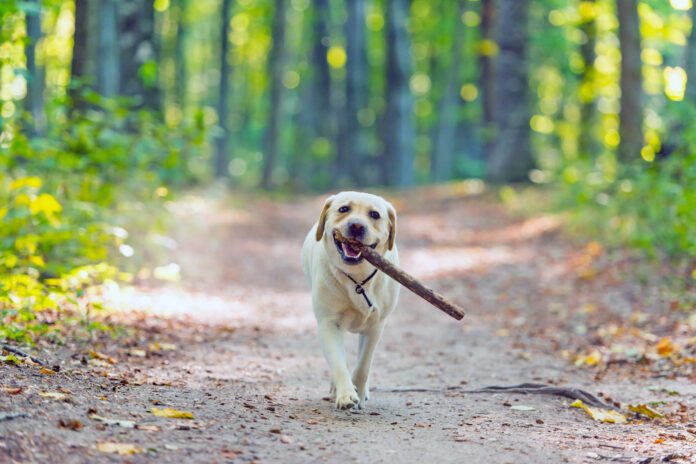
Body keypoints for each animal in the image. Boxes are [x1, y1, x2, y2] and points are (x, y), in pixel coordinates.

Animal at [302, 191, 400, 410]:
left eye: (374, 214)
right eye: (344, 209)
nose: (356, 226)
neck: (357, 279)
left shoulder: (375, 327)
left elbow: (364, 365)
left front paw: (360, 392)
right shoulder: (328, 324)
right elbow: (339, 364)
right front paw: (346, 394)